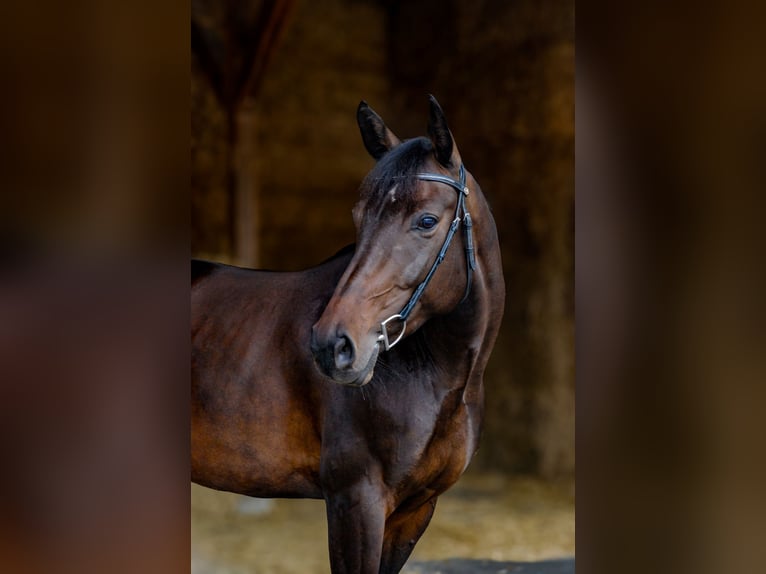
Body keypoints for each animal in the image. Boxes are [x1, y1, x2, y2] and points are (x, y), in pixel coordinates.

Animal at [191, 95, 505, 573]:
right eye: (359, 218)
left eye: (427, 220)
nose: (331, 345)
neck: (439, 379)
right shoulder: (355, 502)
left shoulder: (415, 510)